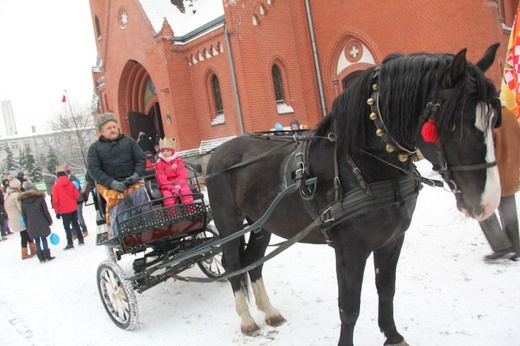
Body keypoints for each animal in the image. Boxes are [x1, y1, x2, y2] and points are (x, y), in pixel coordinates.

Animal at [205, 44, 502, 344]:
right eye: (455, 123)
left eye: (494, 120)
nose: (488, 201)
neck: (362, 165)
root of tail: (218, 152)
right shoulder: (350, 248)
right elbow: (349, 306)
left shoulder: (391, 240)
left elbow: (386, 289)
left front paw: (393, 335)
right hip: (229, 222)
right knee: (232, 263)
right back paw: (246, 319)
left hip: (261, 225)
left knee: (254, 263)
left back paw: (269, 311)